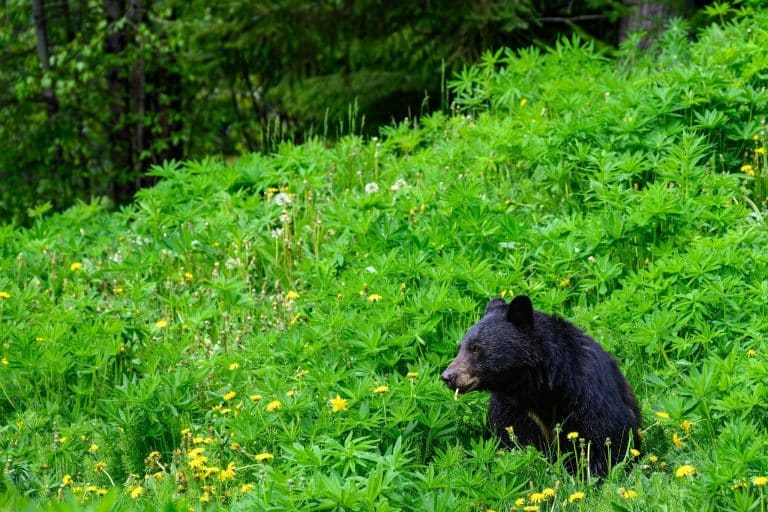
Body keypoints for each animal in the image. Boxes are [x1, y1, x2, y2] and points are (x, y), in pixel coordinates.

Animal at [440, 295, 641, 477]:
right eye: (460, 347)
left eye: (476, 348)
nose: (448, 376)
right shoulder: (513, 407)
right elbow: (510, 437)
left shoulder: (588, 392)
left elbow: (604, 435)